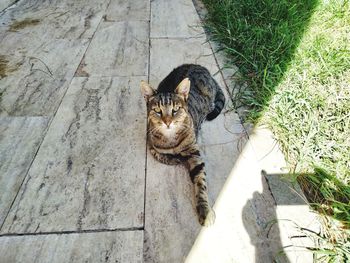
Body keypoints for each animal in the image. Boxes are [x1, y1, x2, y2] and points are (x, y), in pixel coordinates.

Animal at [141, 64, 226, 227]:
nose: (167, 122)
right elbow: (161, 155)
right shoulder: (150, 143)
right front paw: (175, 158)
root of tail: (201, 67)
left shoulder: (194, 152)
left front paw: (204, 209)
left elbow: (200, 182)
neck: (171, 138)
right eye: (157, 111)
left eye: (175, 110)